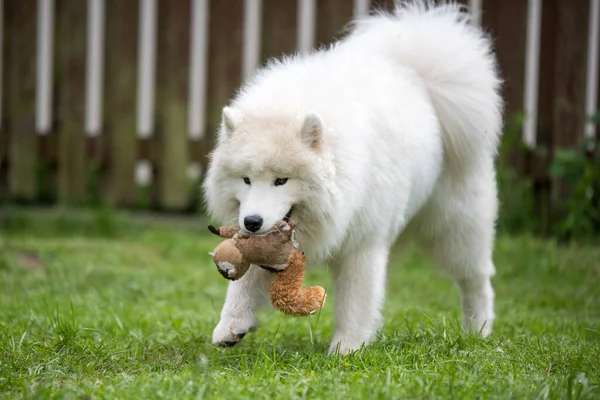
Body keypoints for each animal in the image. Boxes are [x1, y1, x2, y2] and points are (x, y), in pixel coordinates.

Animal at [204, 0, 504, 354]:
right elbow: (244, 283)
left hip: (455, 227)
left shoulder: (363, 243)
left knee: (476, 280)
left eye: (281, 180)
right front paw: (231, 325)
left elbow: (355, 302)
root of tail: (416, 73)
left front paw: (346, 349)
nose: (251, 222)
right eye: (246, 180)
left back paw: (478, 331)